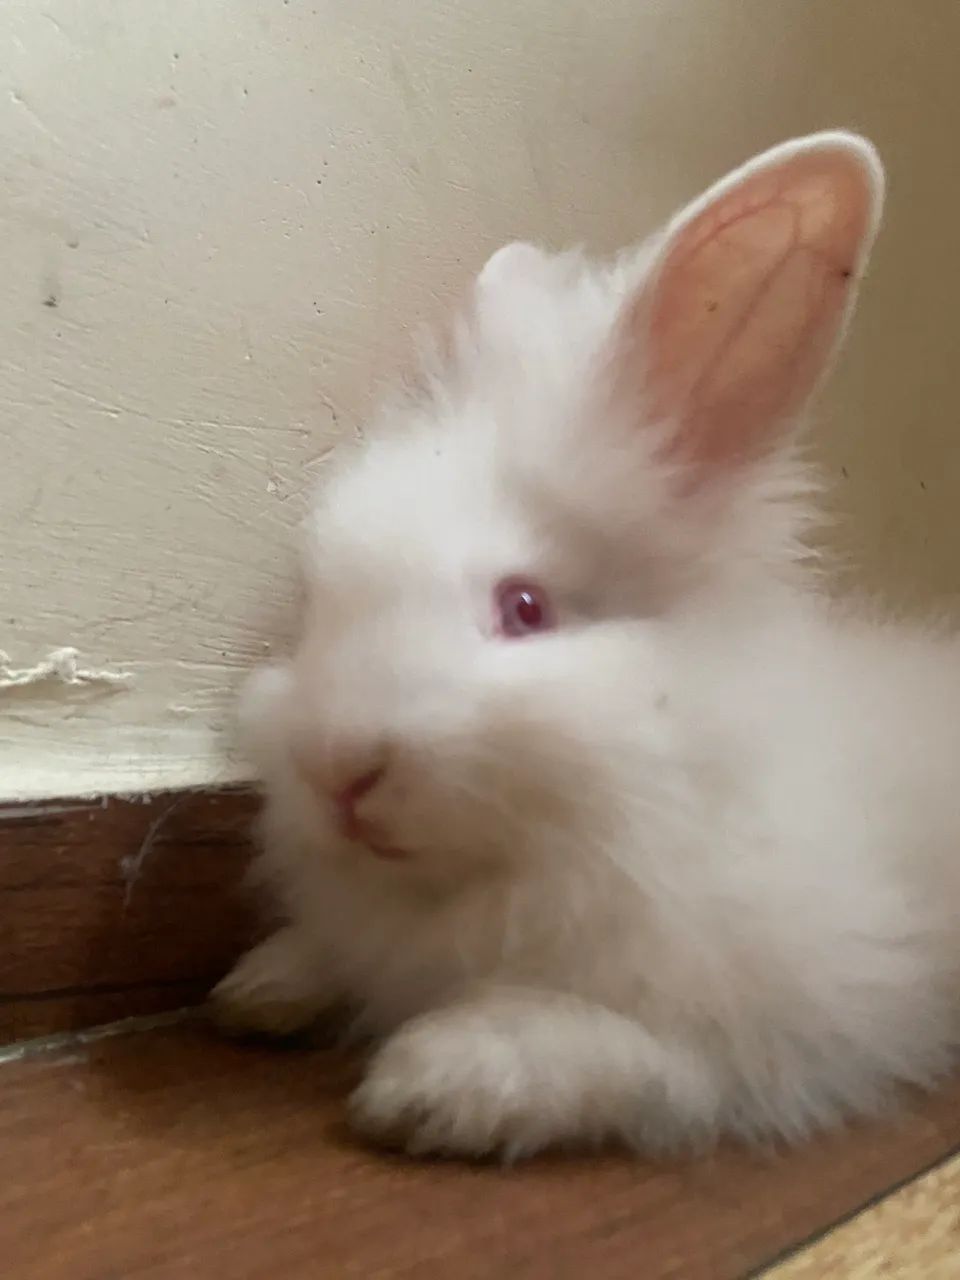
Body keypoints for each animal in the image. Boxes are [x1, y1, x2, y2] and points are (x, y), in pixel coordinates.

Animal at [211, 131, 960, 1161]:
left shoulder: (744, 1044)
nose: (336, 770)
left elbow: (611, 1054)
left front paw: (426, 1085)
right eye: (314, 597)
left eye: (525, 608)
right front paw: (256, 988)